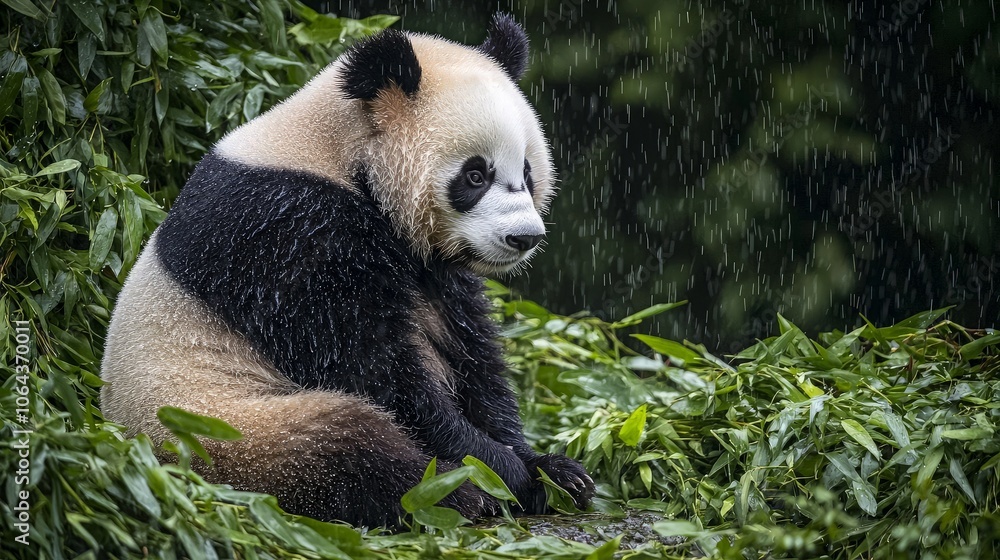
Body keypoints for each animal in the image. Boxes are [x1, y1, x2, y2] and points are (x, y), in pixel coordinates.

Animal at [100, 14, 595, 528]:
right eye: (475, 175)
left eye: (529, 172)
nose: (524, 238)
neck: (338, 152)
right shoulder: (290, 234)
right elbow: (372, 370)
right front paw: (501, 472)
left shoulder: (432, 268)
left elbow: (471, 354)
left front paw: (551, 470)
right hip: (224, 428)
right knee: (342, 446)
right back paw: (447, 495)